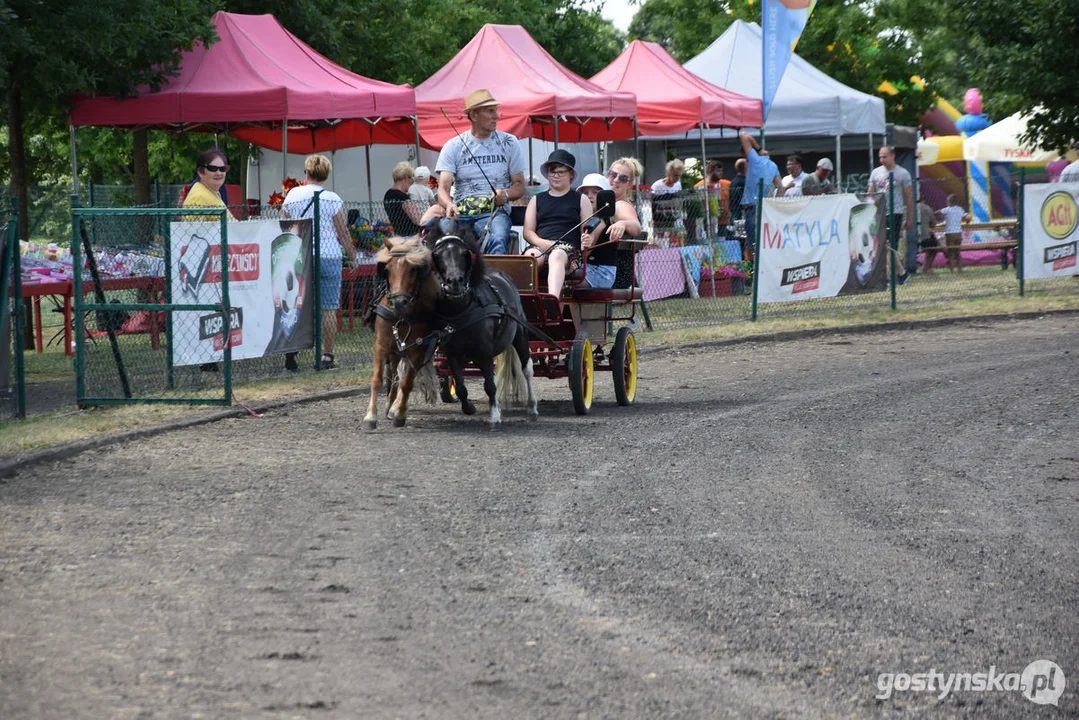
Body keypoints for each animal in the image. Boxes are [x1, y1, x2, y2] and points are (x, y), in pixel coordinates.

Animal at [364, 236, 440, 431]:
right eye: (387, 269)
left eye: (413, 269)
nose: (399, 302)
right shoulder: (381, 345)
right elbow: (377, 379)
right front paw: (370, 416)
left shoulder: (418, 350)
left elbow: (407, 383)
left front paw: (399, 413)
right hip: (396, 351)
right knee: (395, 374)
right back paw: (390, 406)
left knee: (404, 378)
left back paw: (397, 406)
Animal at [425, 226, 535, 427]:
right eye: (437, 255)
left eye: (464, 253)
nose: (455, 281)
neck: (462, 310)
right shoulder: (452, 352)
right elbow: (461, 384)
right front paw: (469, 407)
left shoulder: (485, 349)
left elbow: (489, 385)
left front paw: (495, 415)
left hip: (519, 335)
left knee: (527, 368)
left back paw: (532, 407)